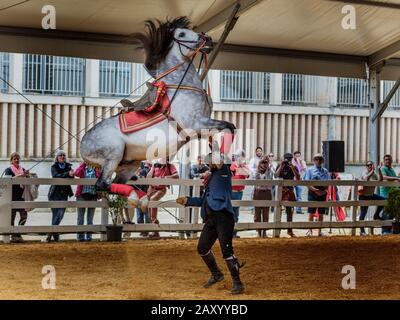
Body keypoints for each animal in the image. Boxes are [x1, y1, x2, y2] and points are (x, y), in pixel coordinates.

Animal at [81, 16, 238, 189]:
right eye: (182, 34)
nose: (208, 40)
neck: (182, 86)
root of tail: (82, 143)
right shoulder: (196, 123)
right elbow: (229, 127)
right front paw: (220, 159)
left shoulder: (201, 128)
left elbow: (223, 133)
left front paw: (216, 159)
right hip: (113, 155)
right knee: (102, 184)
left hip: (129, 165)